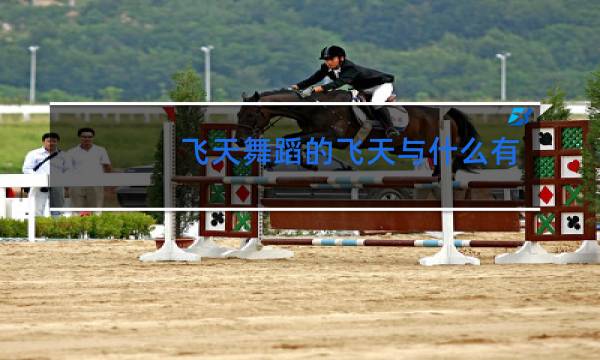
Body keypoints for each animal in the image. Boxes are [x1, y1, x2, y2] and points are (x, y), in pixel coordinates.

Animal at [237, 88, 480, 176]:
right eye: (238, 114)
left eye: (249, 115)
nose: (239, 141)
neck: (315, 107)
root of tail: (446, 114)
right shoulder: (314, 133)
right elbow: (290, 140)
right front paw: (305, 163)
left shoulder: (333, 136)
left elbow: (289, 140)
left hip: (436, 146)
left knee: (451, 162)